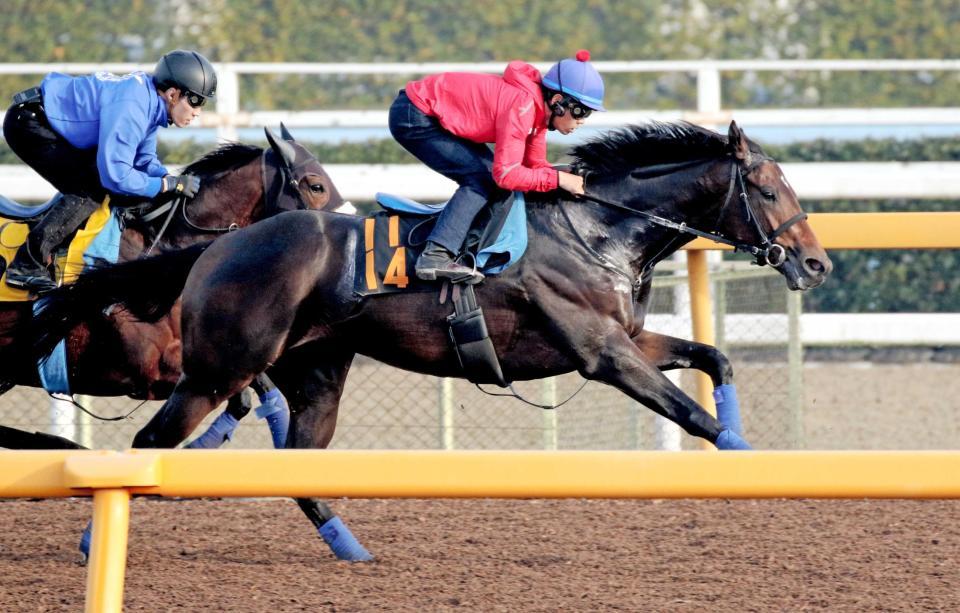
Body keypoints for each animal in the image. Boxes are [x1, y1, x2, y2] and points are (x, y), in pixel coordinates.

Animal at [31, 119, 832, 560]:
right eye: (768, 190)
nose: (817, 263)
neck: (598, 227)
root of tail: (218, 245)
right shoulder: (602, 353)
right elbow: (691, 411)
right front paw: (753, 465)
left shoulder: (626, 338)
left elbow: (714, 358)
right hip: (216, 369)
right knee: (151, 443)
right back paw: (98, 534)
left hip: (315, 373)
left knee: (298, 465)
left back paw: (351, 550)